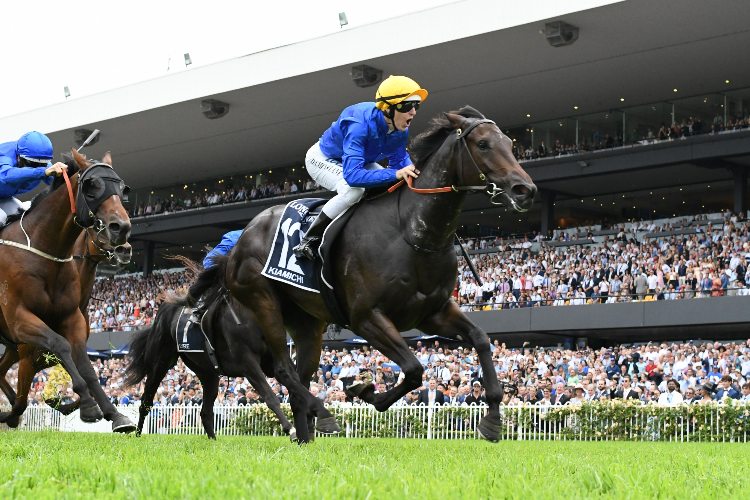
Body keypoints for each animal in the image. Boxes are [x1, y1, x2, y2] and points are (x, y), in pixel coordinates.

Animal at [0, 150, 136, 432]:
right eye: (92, 186)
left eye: (122, 188)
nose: (123, 231)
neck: (43, 251)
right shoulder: (20, 323)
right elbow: (59, 345)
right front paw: (87, 405)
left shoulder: (71, 319)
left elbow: (85, 366)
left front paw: (114, 414)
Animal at [125, 282, 296, 442]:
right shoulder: (248, 364)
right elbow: (270, 396)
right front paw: (290, 429)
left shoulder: (272, 362)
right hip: (159, 364)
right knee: (145, 402)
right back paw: (138, 434)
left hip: (207, 373)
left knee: (205, 411)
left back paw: (213, 440)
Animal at [179, 106, 536, 442]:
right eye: (483, 144)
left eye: (511, 143)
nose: (525, 189)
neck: (412, 231)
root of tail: (240, 240)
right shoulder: (366, 317)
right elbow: (413, 368)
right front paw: (364, 391)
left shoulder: (432, 313)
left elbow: (480, 339)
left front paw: (492, 419)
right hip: (263, 303)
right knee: (282, 369)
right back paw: (322, 412)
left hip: (307, 322)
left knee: (298, 378)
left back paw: (305, 436)